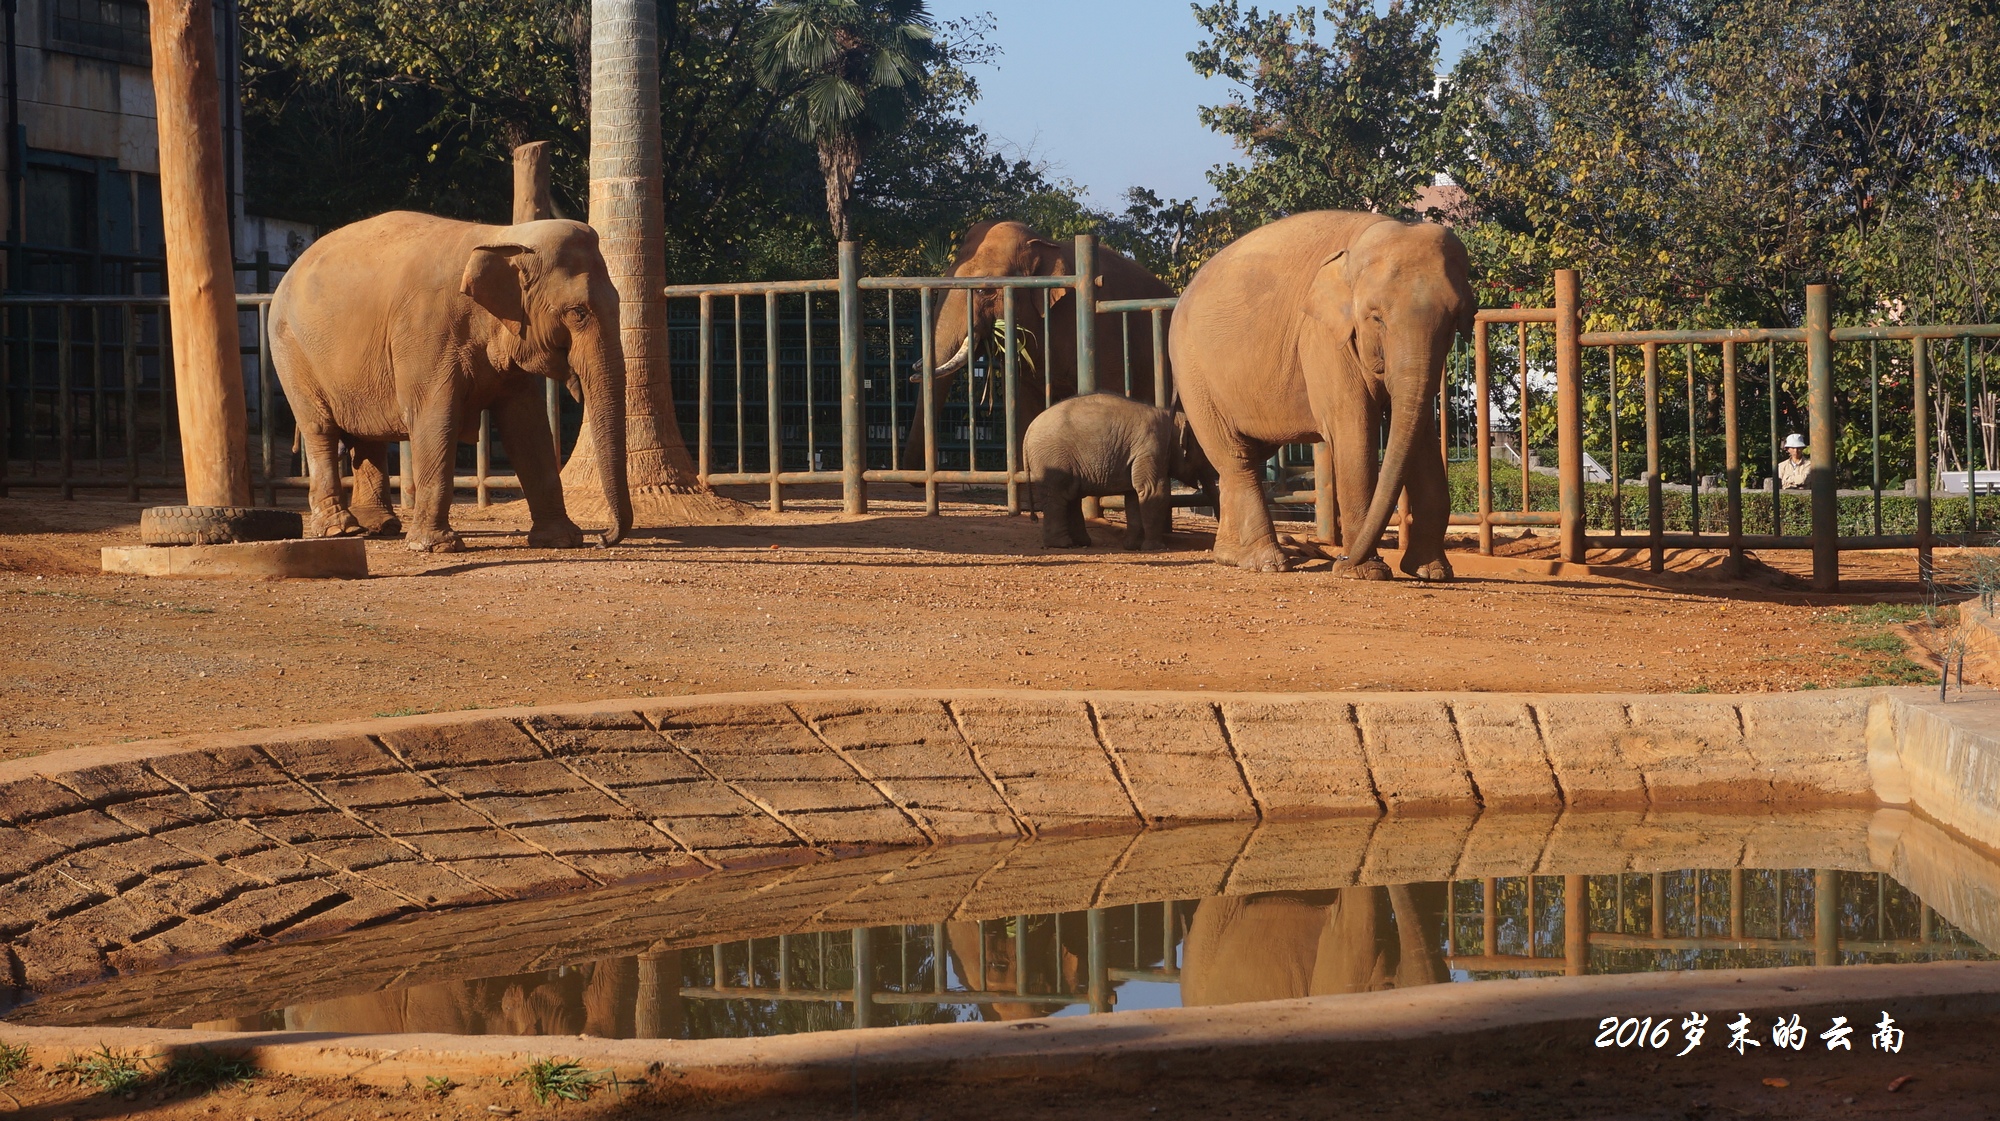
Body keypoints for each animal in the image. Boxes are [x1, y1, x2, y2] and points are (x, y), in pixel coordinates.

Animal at [266, 210, 624, 552]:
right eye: (578, 312)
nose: (602, 538)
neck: (503, 237)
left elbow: (527, 426)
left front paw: (561, 540)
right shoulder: (425, 332)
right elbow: (435, 419)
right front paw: (435, 546)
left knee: (367, 435)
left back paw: (380, 526)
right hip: (290, 351)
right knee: (320, 429)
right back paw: (340, 529)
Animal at [1024, 394, 1208, 552]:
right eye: (1204, 454)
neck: (1171, 418)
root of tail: (1029, 430)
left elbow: (1133, 496)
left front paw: (1133, 546)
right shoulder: (1151, 449)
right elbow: (1152, 491)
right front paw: (1156, 548)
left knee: (1071, 496)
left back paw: (1080, 542)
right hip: (1052, 458)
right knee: (1059, 496)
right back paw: (1062, 544)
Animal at [1168, 211, 1472, 576]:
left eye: (1455, 319)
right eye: (1376, 318)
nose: (1339, 559)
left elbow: (1423, 435)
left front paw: (1431, 572)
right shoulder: (1322, 338)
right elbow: (1354, 431)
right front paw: (1366, 573)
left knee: (1246, 455)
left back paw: (1233, 557)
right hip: (1194, 374)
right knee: (1235, 456)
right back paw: (1270, 563)